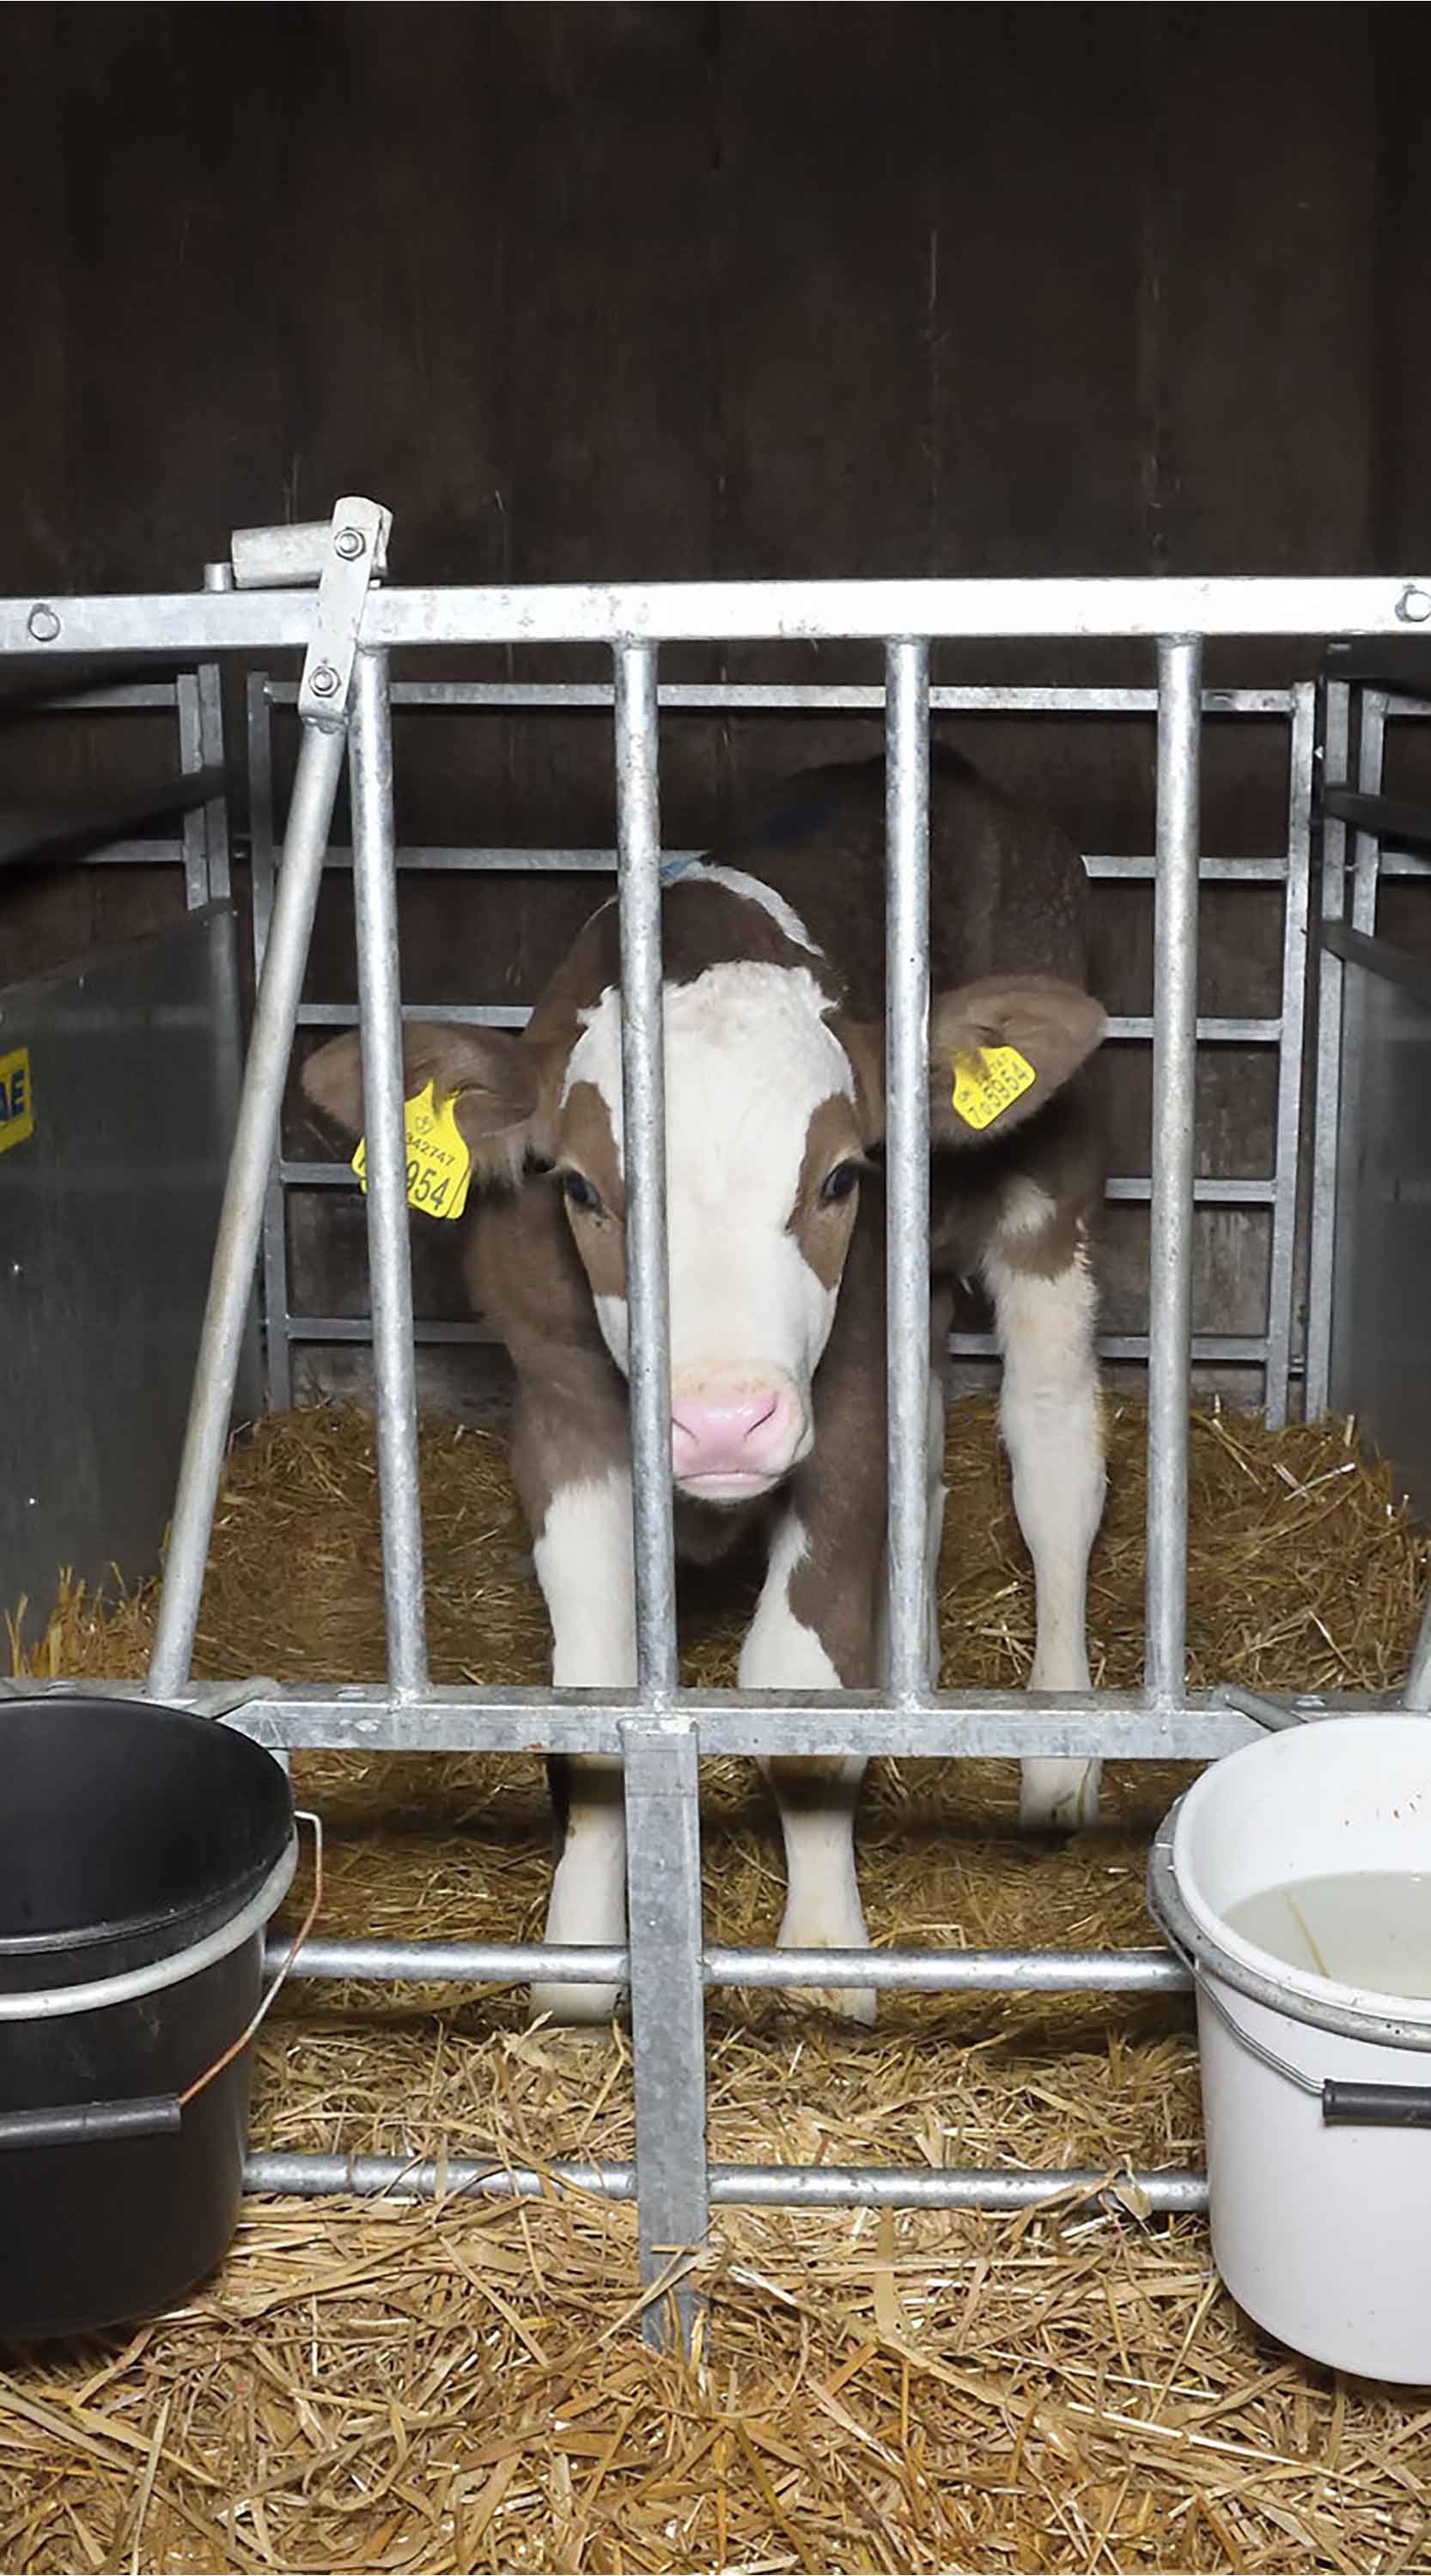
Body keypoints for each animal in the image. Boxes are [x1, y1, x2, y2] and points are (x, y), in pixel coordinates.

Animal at [302, 748, 1108, 2026]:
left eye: (839, 1179)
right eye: (583, 1190)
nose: (722, 1421)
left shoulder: (845, 1403)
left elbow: (795, 1686)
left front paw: (822, 1956)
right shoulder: (561, 1406)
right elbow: (590, 1702)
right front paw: (581, 1959)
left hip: (1050, 1187)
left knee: (1053, 1454)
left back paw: (1056, 1749)